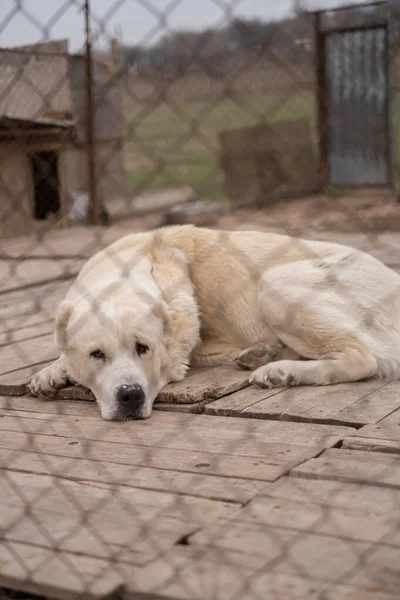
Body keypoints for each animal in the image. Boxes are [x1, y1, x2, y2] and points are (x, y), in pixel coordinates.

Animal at [29, 226, 400, 422]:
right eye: (97, 354)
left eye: (142, 348)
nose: (130, 396)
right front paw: (51, 371)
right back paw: (263, 356)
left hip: (275, 284)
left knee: (362, 358)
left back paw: (281, 371)